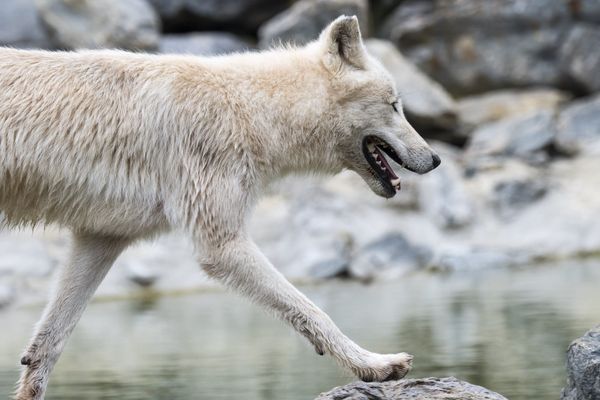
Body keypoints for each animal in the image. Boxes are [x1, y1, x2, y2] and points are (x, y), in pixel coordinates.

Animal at [0, 16, 440, 400]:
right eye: (395, 104)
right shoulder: (221, 242)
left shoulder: (101, 237)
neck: (252, 111)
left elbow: (48, 344)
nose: (435, 159)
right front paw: (376, 364)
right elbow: (311, 307)